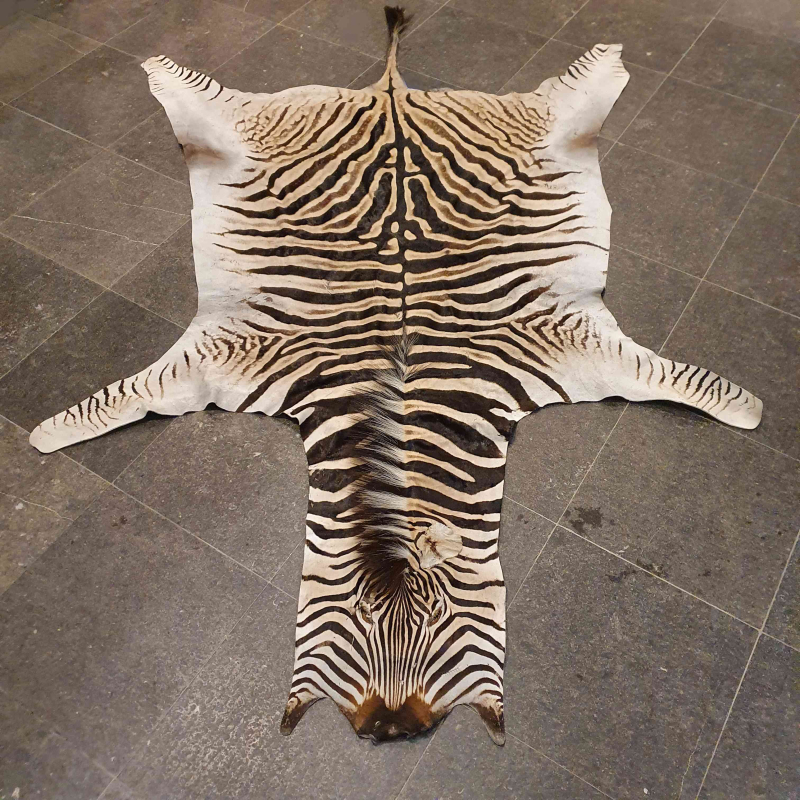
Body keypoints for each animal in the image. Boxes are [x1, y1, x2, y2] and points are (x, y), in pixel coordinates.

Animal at [29, 7, 762, 745]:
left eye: (439, 625)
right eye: (354, 621)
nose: (391, 730)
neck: (402, 400)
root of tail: (391, 92)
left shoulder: (566, 340)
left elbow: (687, 381)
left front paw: (746, 408)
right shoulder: (235, 350)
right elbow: (119, 396)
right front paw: (47, 433)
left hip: (532, 127)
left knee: (575, 88)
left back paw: (606, 57)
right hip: (253, 129)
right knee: (204, 97)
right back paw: (160, 68)